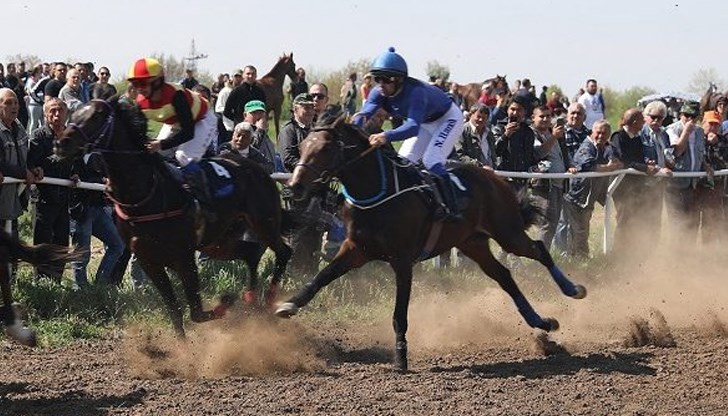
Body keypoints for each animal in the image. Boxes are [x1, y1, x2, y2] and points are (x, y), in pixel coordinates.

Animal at [55, 98, 292, 338]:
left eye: (96, 116)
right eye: (73, 114)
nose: (61, 143)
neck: (144, 194)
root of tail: (261, 170)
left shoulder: (183, 256)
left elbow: (196, 313)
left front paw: (226, 300)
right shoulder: (149, 261)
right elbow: (175, 312)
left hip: (264, 222)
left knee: (283, 252)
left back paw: (271, 299)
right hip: (218, 242)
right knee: (251, 253)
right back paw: (252, 298)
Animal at [276, 114, 588, 370]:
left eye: (325, 149)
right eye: (301, 147)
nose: (295, 185)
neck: (377, 192)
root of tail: (495, 177)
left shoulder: (402, 260)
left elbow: (399, 312)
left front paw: (400, 357)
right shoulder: (356, 250)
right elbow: (322, 276)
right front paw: (288, 305)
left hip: (507, 232)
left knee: (539, 250)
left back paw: (573, 290)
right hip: (472, 243)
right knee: (504, 275)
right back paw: (541, 321)